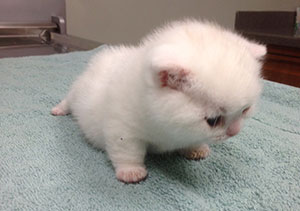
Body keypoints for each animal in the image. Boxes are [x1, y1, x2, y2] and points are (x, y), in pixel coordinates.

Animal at [51, 19, 264, 183]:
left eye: (245, 110)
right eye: (213, 120)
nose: (234, 131)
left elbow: (192, 139)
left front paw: (195, 148)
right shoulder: (122, 128)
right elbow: (127, 149)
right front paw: (131, 171)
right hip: (79, 91)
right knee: (69, 99)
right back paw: (59, 109)